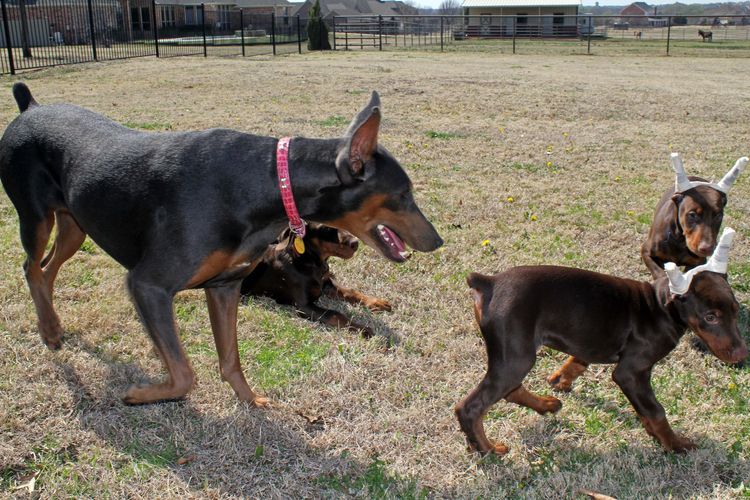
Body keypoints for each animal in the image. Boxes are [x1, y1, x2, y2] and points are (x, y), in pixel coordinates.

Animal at [241, 224, 394, 338]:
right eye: (325, 228)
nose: (356, 243)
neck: (308, 262)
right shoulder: (304, 306)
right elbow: (335, 314)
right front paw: (362, 329)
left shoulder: (326, 283)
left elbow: (350, 291)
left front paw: (376, 302)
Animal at [456, 229, 748, 456]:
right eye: (710, 317)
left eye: (735, 311)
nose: (742, 354)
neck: (659, 307)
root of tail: (489, 282)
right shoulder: (631, 372)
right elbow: (655, 410)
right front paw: (674, 444)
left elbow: (579, 362)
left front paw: (561, 379)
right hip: (517, 355)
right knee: (470, 407)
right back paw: (487, 449)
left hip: (515, 355)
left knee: (509, 390)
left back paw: (544, 405)